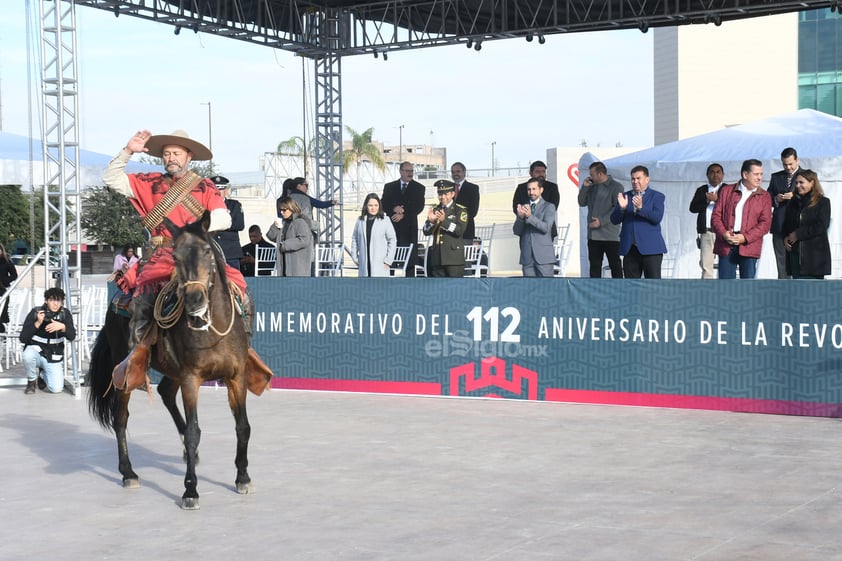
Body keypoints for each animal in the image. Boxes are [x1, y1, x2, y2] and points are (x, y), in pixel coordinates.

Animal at [86, 212, 270, 510]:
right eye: (175, 256)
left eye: (207, 250)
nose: (195, 299)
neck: (213, 329)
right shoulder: (191, 378)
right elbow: (195, 430)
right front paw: (190, 490)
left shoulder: (236, 376)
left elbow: (243, 426)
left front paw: (243, 478)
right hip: (126, 371)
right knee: (121, 418)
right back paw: (128, 472)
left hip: (172, 372)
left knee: (164, 392)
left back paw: (186, 452)